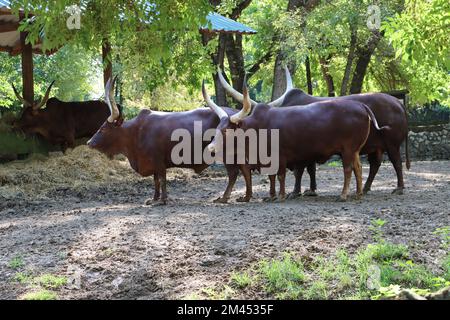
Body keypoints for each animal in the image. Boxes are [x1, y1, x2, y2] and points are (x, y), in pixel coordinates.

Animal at [218, 68, 412, 195]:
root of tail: (398, 102)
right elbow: (308, 170)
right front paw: (309, 189)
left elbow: (301, 170)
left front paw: (298, 191)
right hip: (376, 147)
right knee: (375, 165)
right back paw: (365, 188)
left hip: (392, 144)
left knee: (396, 162)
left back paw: (399, 188)